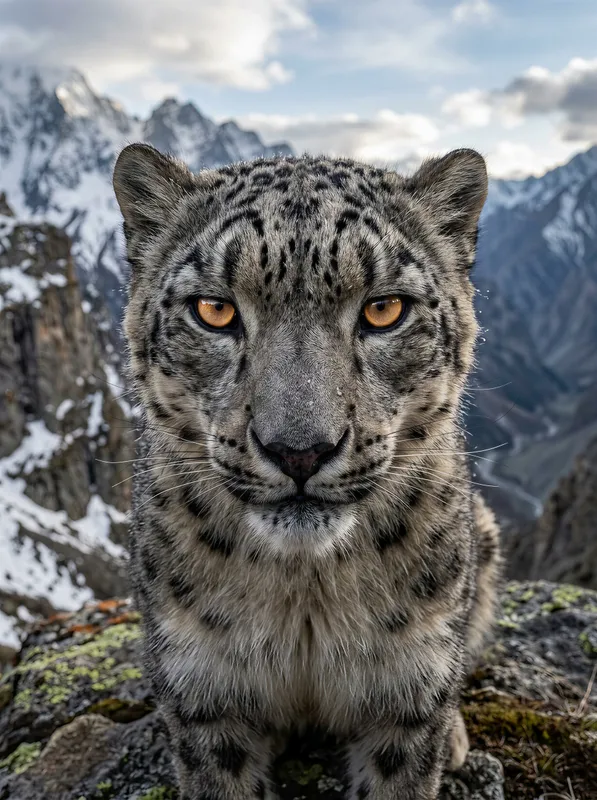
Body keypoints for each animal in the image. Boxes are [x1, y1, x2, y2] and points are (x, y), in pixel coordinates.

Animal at [113, 143, 502, 800]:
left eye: (384, 309)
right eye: (214, 310)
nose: (300, 450)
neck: (305, 596)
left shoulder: (407, 692)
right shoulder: (204, 694)